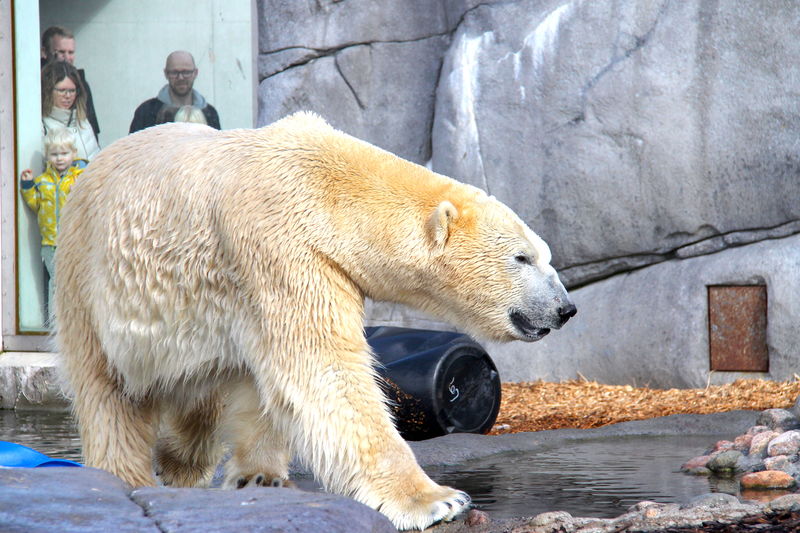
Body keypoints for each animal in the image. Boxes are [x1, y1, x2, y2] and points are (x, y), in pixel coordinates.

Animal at [54, 111, 576, 528]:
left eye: (544, 255)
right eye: (522, 258)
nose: (565, 308)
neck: (328, 190)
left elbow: (278, 381)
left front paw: (258, 476)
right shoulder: (281, 245)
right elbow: (324, 369)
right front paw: (438, 500)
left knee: (208, 387)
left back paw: (199, 465)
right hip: (90, 275)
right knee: (108, 390)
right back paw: (125, 475)